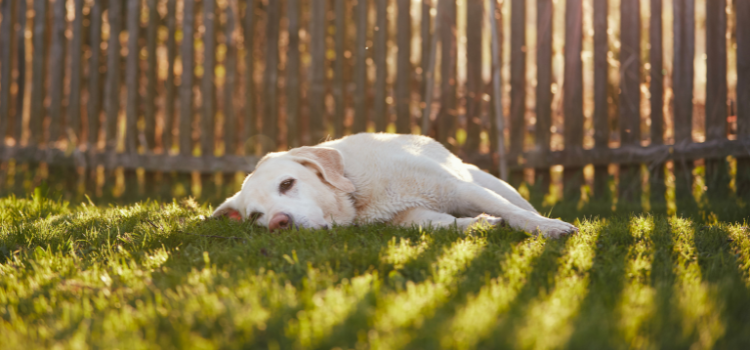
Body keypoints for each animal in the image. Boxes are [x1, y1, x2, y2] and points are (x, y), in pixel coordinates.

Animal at [213, 132, 580, 238]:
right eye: (255, 216)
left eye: (287, 183)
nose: (279, 222)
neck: (359, 194)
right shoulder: (406, 218)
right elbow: (443, 223)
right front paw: (479, 224)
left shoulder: (461, 190)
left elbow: (515, 214)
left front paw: (550, 228)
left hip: (492, 184)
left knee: (519, 205)